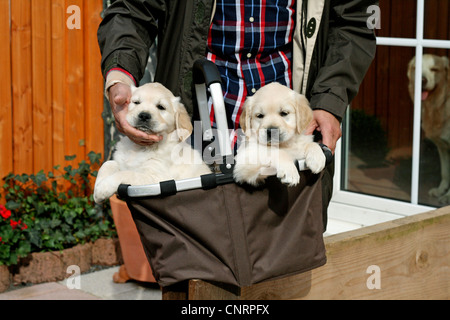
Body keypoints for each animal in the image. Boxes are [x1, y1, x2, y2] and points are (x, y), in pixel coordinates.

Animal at [408, 53, 450, 202]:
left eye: (434, 69)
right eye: (416, 68)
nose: (422, 80)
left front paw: (447, 196)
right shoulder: (442, 147)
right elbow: (445, 173)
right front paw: (441, 190)